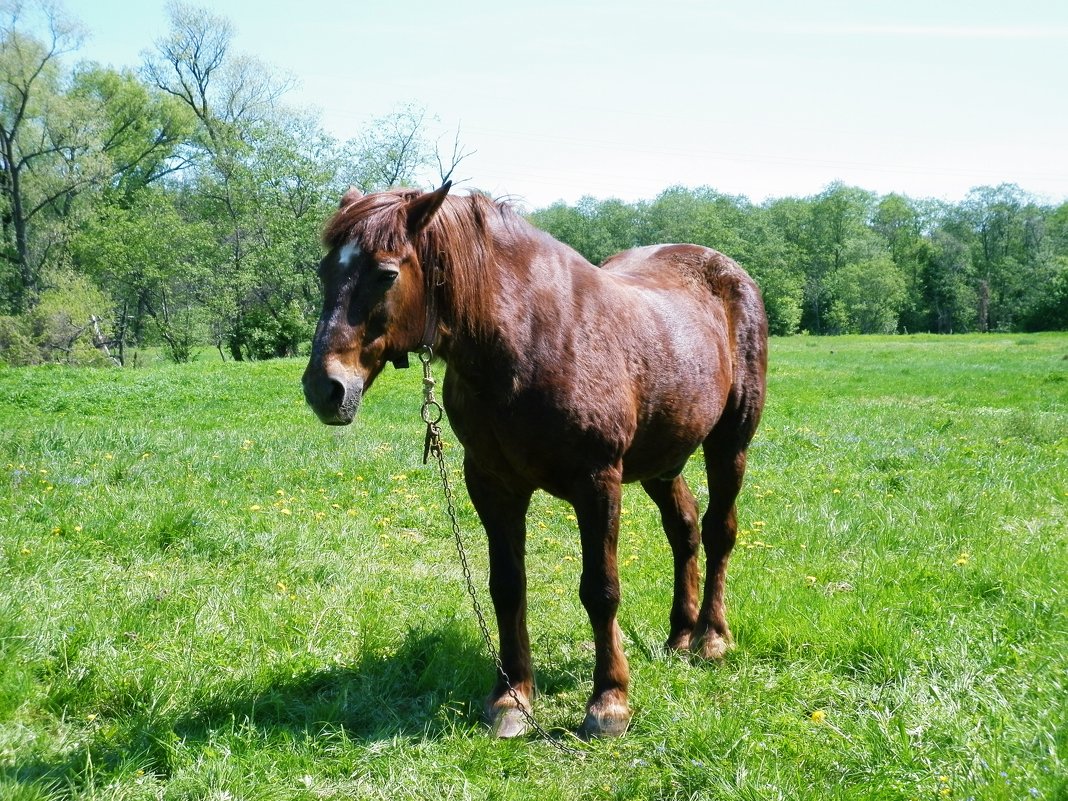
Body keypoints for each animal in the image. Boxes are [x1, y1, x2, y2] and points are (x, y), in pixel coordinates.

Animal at [303, 181, 768, 739]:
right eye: (325, 271)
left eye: (386, 273)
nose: (324, 389)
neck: (528, 340)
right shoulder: (492, 483)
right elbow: (506, 586)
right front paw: (512, 699)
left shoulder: (597, 482)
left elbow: (601, 590)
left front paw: (609, 702)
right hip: (662, 459)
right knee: (685, 529)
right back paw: (680, 634)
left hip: (729, 444)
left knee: (719, 530)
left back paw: (710, 638)